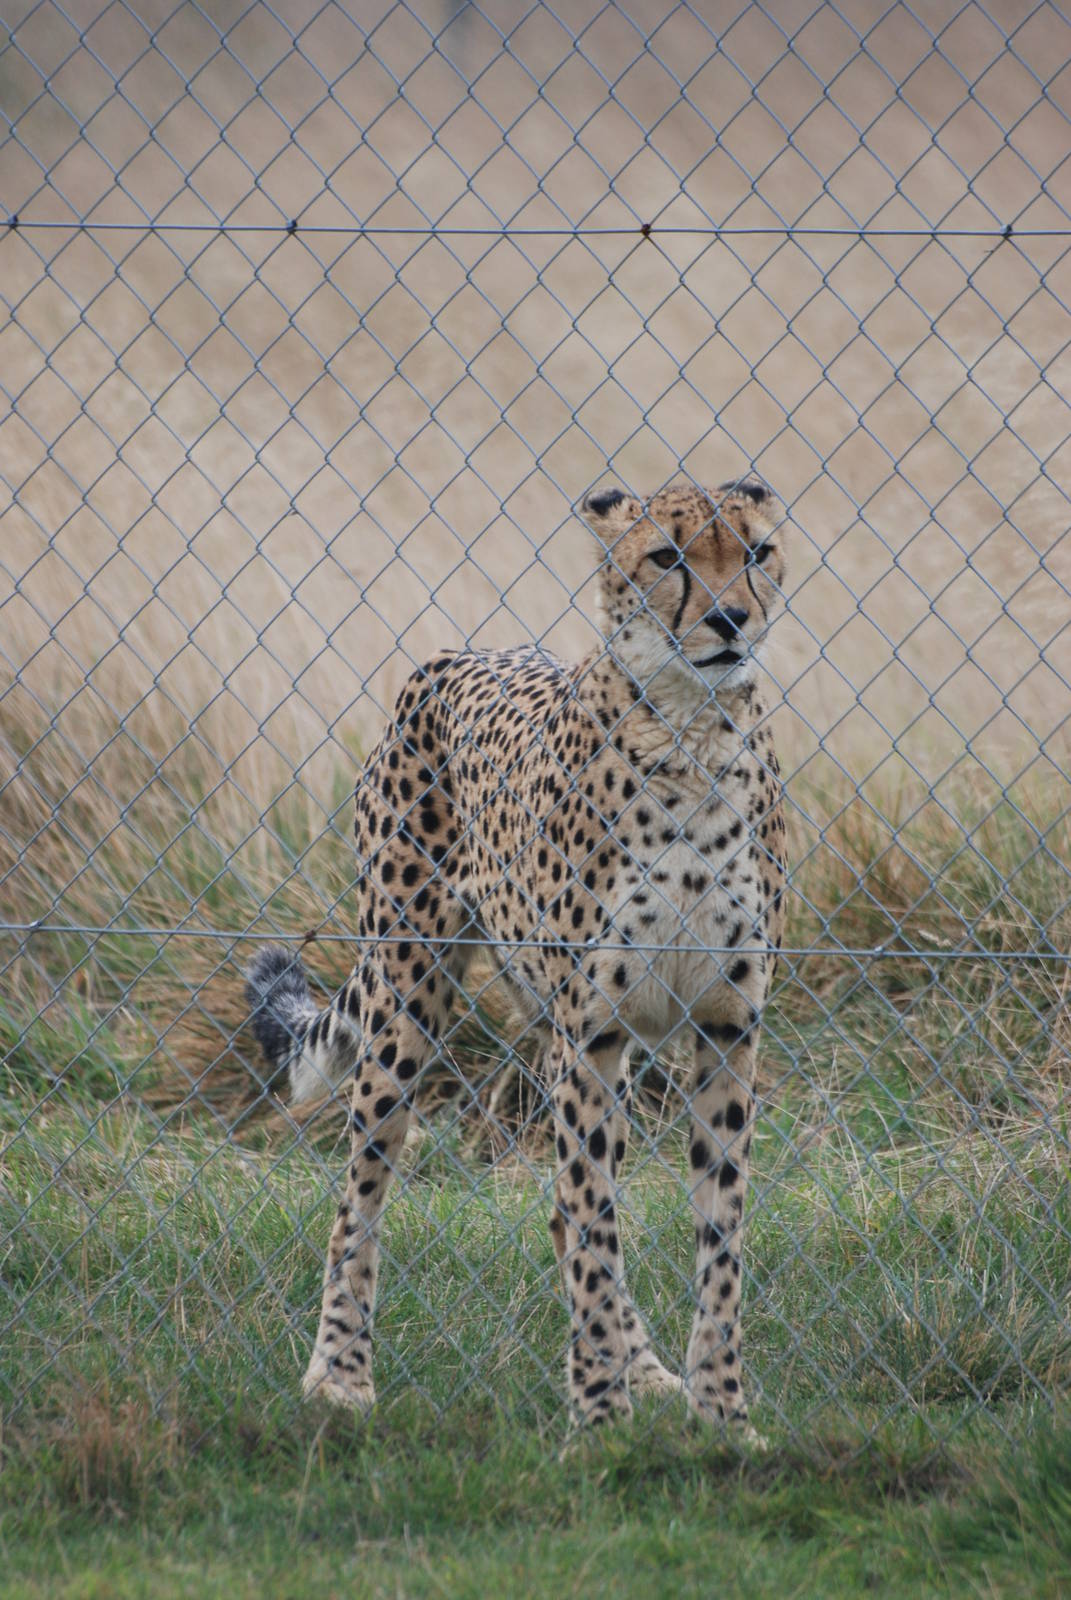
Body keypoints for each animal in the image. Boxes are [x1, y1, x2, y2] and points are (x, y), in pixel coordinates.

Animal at [245, 477, 788, 1433]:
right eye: (667, 557)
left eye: (755, 551)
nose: (729, 618)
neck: (694, 734)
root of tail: (454, 655)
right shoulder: (593, 1034)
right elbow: (597, 1228)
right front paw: (599, 1424)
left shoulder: (727, 1029)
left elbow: (716, 1237)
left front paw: (720, 1417)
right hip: (410, 1001)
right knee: (361, 1194)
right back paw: (339, 1377)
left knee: (567, 1213)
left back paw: (652, 1376)